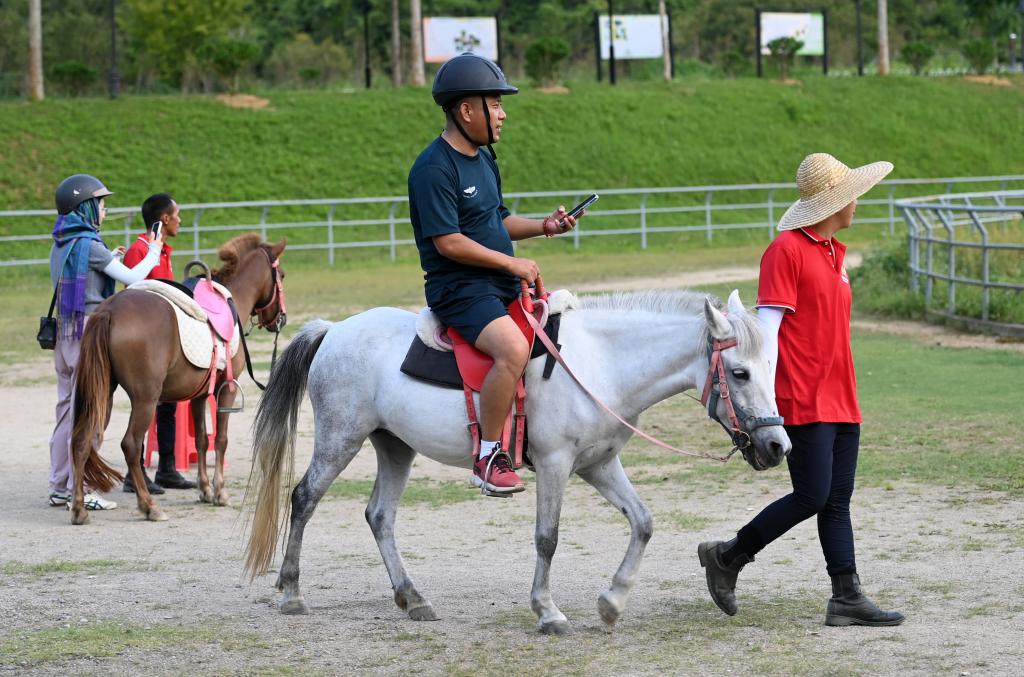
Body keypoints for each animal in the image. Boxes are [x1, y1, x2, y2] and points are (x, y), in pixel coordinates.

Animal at [69, 233, 287, 525]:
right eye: (281, 276)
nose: (281, 318)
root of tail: (110, 310)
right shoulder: (225, 391)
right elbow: (221, 439)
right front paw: (219, 491)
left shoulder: (199, 396)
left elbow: (203, 440)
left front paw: (205, 489)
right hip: (145, 399)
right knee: (131, 444)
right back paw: (149, 506)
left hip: (103, 394)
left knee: (82, 440)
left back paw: (79, 508)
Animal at [243, 288, 790, 634]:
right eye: (739, 373)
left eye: (770, 367)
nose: (777, 447)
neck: (599, 364)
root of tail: (334, 330)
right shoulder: (555, 464)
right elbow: (547, 538)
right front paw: (548, 613)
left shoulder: (598, 465)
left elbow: (644, 522)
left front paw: (612, 603)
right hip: (340, 439)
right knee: (304, 498)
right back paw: (291, 593)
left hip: (394, 446)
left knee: (379, 515)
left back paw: (413, 598)